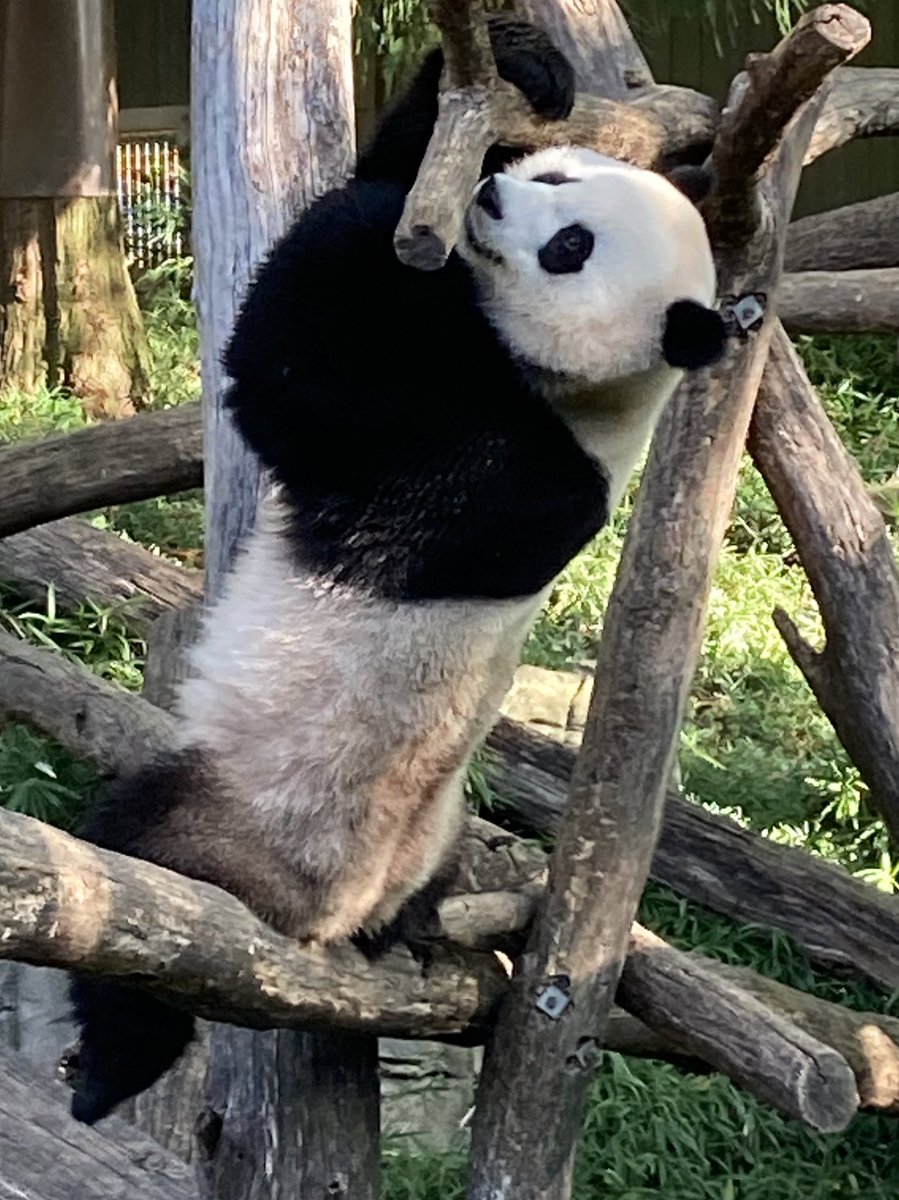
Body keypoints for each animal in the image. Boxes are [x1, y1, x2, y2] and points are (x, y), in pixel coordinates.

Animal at [70, 16, 729, 1123]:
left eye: (572, 248)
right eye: (556, 173)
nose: (490, 194)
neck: (599, 404)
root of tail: (346, 914)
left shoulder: (485, 470)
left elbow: (292, 368)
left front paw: (386, 223)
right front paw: (517, 68)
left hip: (266, 818)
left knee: (146, 874)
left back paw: (107, 1061)